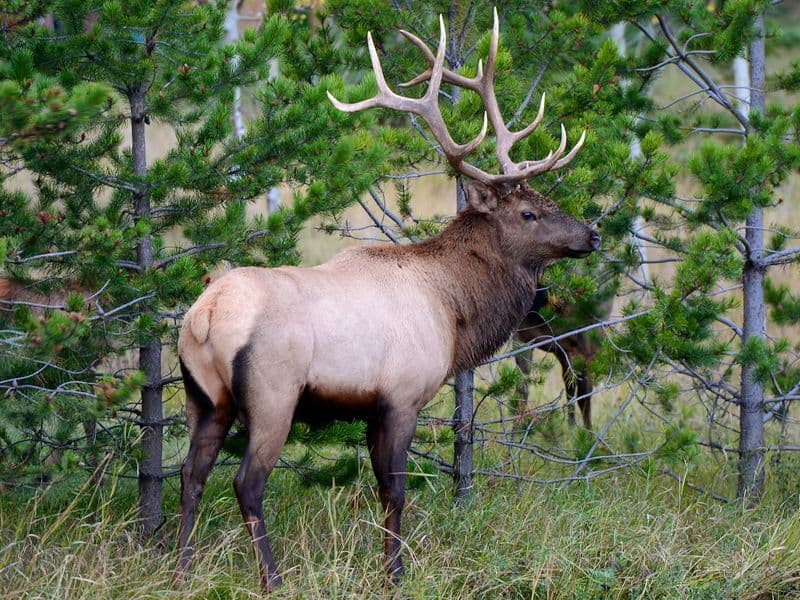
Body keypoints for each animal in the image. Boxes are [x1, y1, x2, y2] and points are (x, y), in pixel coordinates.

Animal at [174, 10, 600, 591]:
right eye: (528, 213)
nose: (592, 234)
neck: (453, 311)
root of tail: (206, 314)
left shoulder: (373, 406)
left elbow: (382, 490)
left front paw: (388, 566)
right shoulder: (401, 395)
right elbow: (395, 490)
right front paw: (395, 573)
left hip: (203, 396)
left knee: (189, 475)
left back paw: (178, 569)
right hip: (272, 393)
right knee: (247, 483)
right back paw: (272, 579)